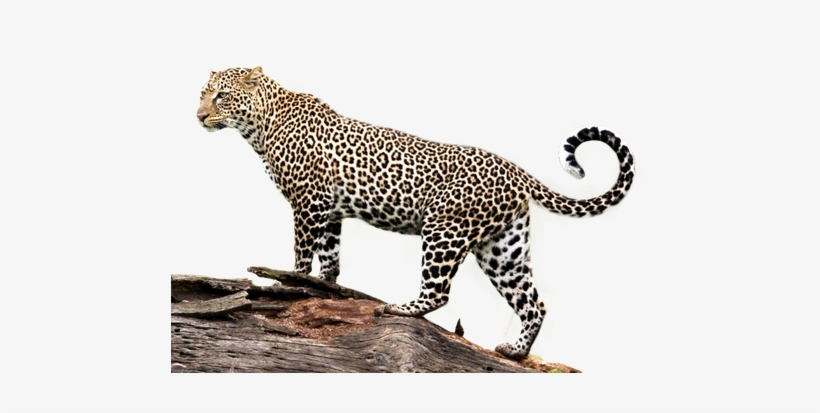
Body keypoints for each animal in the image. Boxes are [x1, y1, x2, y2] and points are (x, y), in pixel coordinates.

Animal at [196, 67, 635, 360]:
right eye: (202, 94)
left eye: (221, 96)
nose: (199, 116)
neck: (260, 126)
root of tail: (516, 170)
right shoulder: (329, 211)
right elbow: (331, 258)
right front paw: (324, 288)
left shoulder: (307, 203)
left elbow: (302, 255)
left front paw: (287, 286)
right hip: (503, 250)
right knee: (534, 304)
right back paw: (514, 351)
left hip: (443, 230)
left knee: (439, 292)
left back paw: (398, 307)